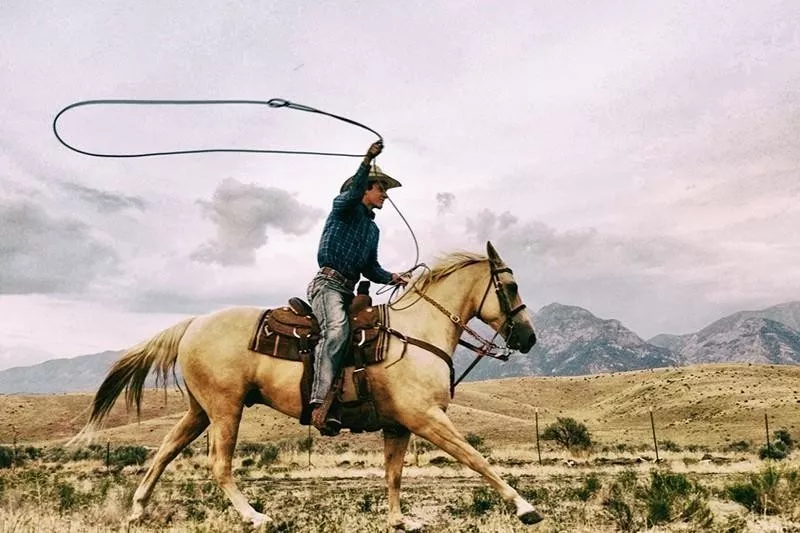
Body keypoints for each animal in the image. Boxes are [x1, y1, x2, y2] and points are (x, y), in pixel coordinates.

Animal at [78, 241, 544, 528]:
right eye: (511, 285)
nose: (528, 338)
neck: (416, 333)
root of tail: (193, 324)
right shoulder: (427, 419)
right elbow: (477, 459)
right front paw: (525, 508)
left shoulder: (398, 425)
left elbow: (393, 474)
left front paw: (398, 520)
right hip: (226, 409)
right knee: (219, 465)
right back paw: (255, 517)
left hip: (199, 410)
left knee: (164, 451)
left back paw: (138, 510)